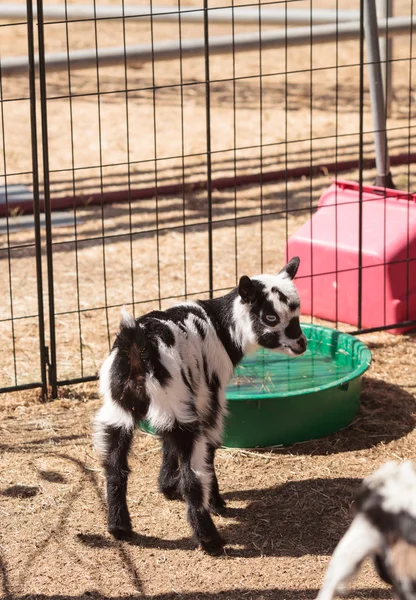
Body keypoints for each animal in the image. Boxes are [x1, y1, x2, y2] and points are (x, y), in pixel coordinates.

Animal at [95, 256, 308, 552]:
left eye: (298, 312)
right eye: (270, 317)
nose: (302, 344)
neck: (221, 326)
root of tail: (138, 347)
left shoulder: (182, 404)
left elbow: (167, 445)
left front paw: (166, 487)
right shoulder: (209, 398)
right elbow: (211, 448)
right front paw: (217, 504)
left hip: (119, 411)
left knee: (114, 466)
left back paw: (119, 528)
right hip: (176, 405)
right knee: (193, 476)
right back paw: (210, 539)